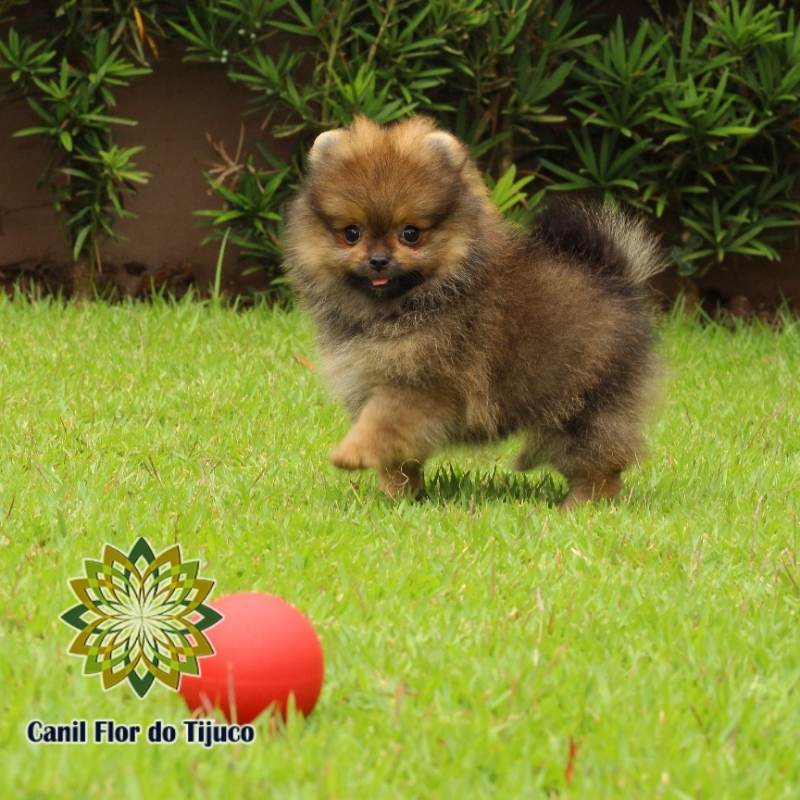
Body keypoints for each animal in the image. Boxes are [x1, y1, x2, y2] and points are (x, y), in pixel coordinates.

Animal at [284, 116, 660, 510]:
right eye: (351, 233)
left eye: (411, 233)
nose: (378, 260)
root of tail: (614, 275)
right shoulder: (368, 382)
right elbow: (397, 455)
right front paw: (399, 494)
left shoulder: (419, 383)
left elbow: (381, 424)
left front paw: (352, 453)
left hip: (584, 401)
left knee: (600, 459)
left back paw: (580, 505)